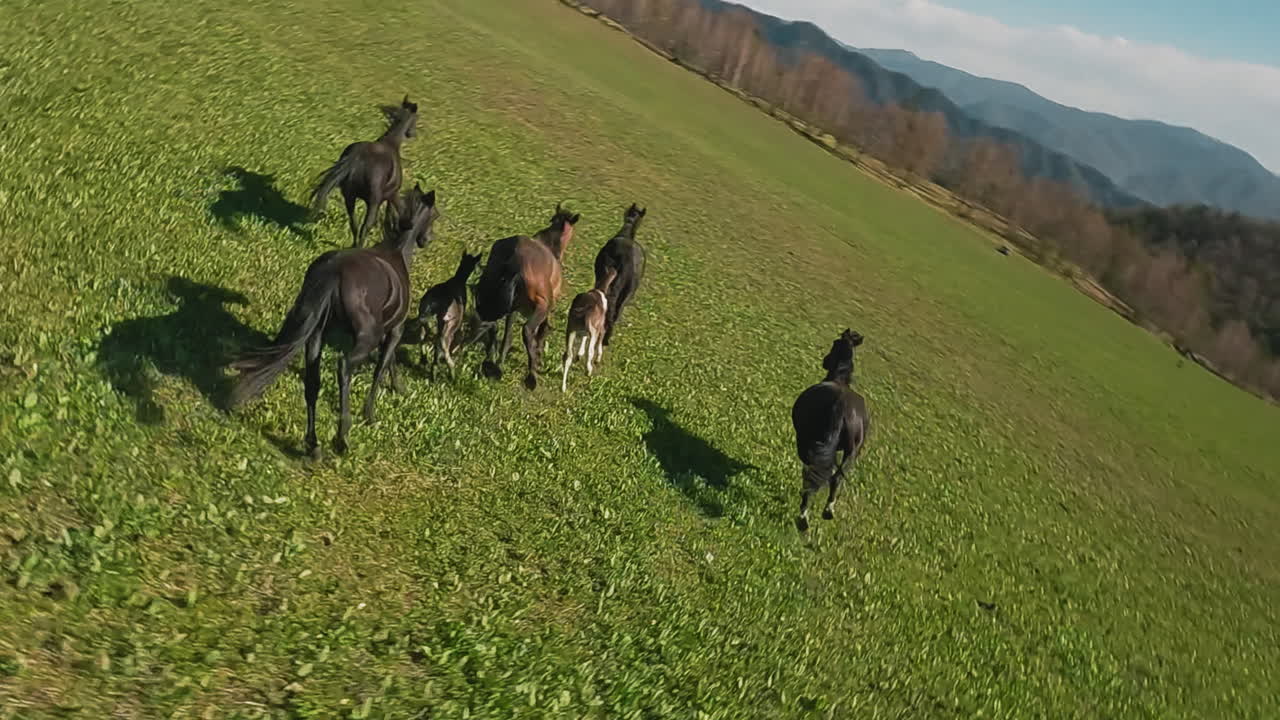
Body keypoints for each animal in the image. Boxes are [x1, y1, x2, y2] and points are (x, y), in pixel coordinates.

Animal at [230, 184, 439, 458]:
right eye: (435, 216)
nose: (427, 239)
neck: (395, 254)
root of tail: (333, 271)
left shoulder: (386, 332)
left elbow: (389, 362)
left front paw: (397, 387)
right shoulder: (394, 330)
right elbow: (381, 367)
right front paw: (370, 414)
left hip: (316, 335)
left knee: (312, 381)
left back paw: (314, 445)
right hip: (362, 339)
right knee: (343, 367)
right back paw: (342, 437)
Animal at [310, 96, 419, 247]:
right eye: (416, 119)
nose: (412, 133)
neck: (392, 144)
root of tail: (357, 158)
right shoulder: (391, 194)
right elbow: (396, 210)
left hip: (349, 197)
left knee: (353, 223)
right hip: (372, 203)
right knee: (365, 227)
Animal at [416, 249, 483, 378]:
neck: (458, 280)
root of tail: (435, 302)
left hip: (424, 317)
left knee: (424, 337)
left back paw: (425, 361)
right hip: (449, 324)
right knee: (443, 343)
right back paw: (452, 372)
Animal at [467, 203, 581, 390]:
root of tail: (514, 261)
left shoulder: (513, 308)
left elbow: (507, 336)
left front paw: (500, 361)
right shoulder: (545, 307)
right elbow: (542, 330)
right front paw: (538, 355)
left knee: (491, 325)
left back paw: (493, 364)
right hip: (541, 306)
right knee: (527, 330)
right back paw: (531, 376)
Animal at [790, 329, 870, 532]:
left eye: (834, 343)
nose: (825, 360)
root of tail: (840, 406)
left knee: (812, 474)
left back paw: (803, 516)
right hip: (852, 452)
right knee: (836, 478)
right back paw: (828, 510)